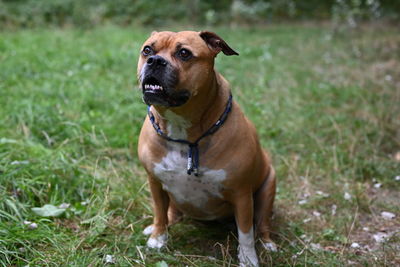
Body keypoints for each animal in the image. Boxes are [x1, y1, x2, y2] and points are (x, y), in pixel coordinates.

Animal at [136, 30, 276, 266]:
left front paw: (248, 258)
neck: (183, 132)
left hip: (268, 187)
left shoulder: (241, 194)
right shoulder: (154, 182)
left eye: (184, 53)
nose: (155, 60)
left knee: (262, 223)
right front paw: (158, 238)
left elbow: (246, 232)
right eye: (147, 50)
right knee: (170, 213)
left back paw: (267, 243)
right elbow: (159, 212)